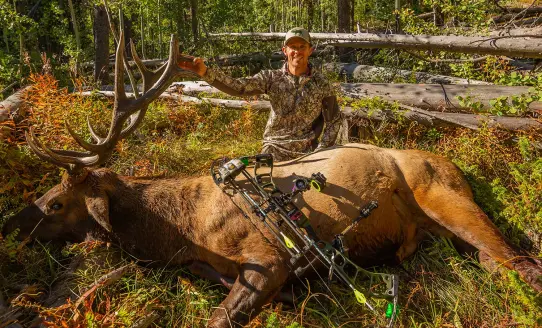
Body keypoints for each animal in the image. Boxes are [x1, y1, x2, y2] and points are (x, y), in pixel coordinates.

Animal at [1, 34, 542, 328]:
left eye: (55, 203)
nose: (9, 225)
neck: (178, 232)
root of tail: (457, 167)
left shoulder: (270, 256)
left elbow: (218, 317)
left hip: (444, 195)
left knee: (519, 260)